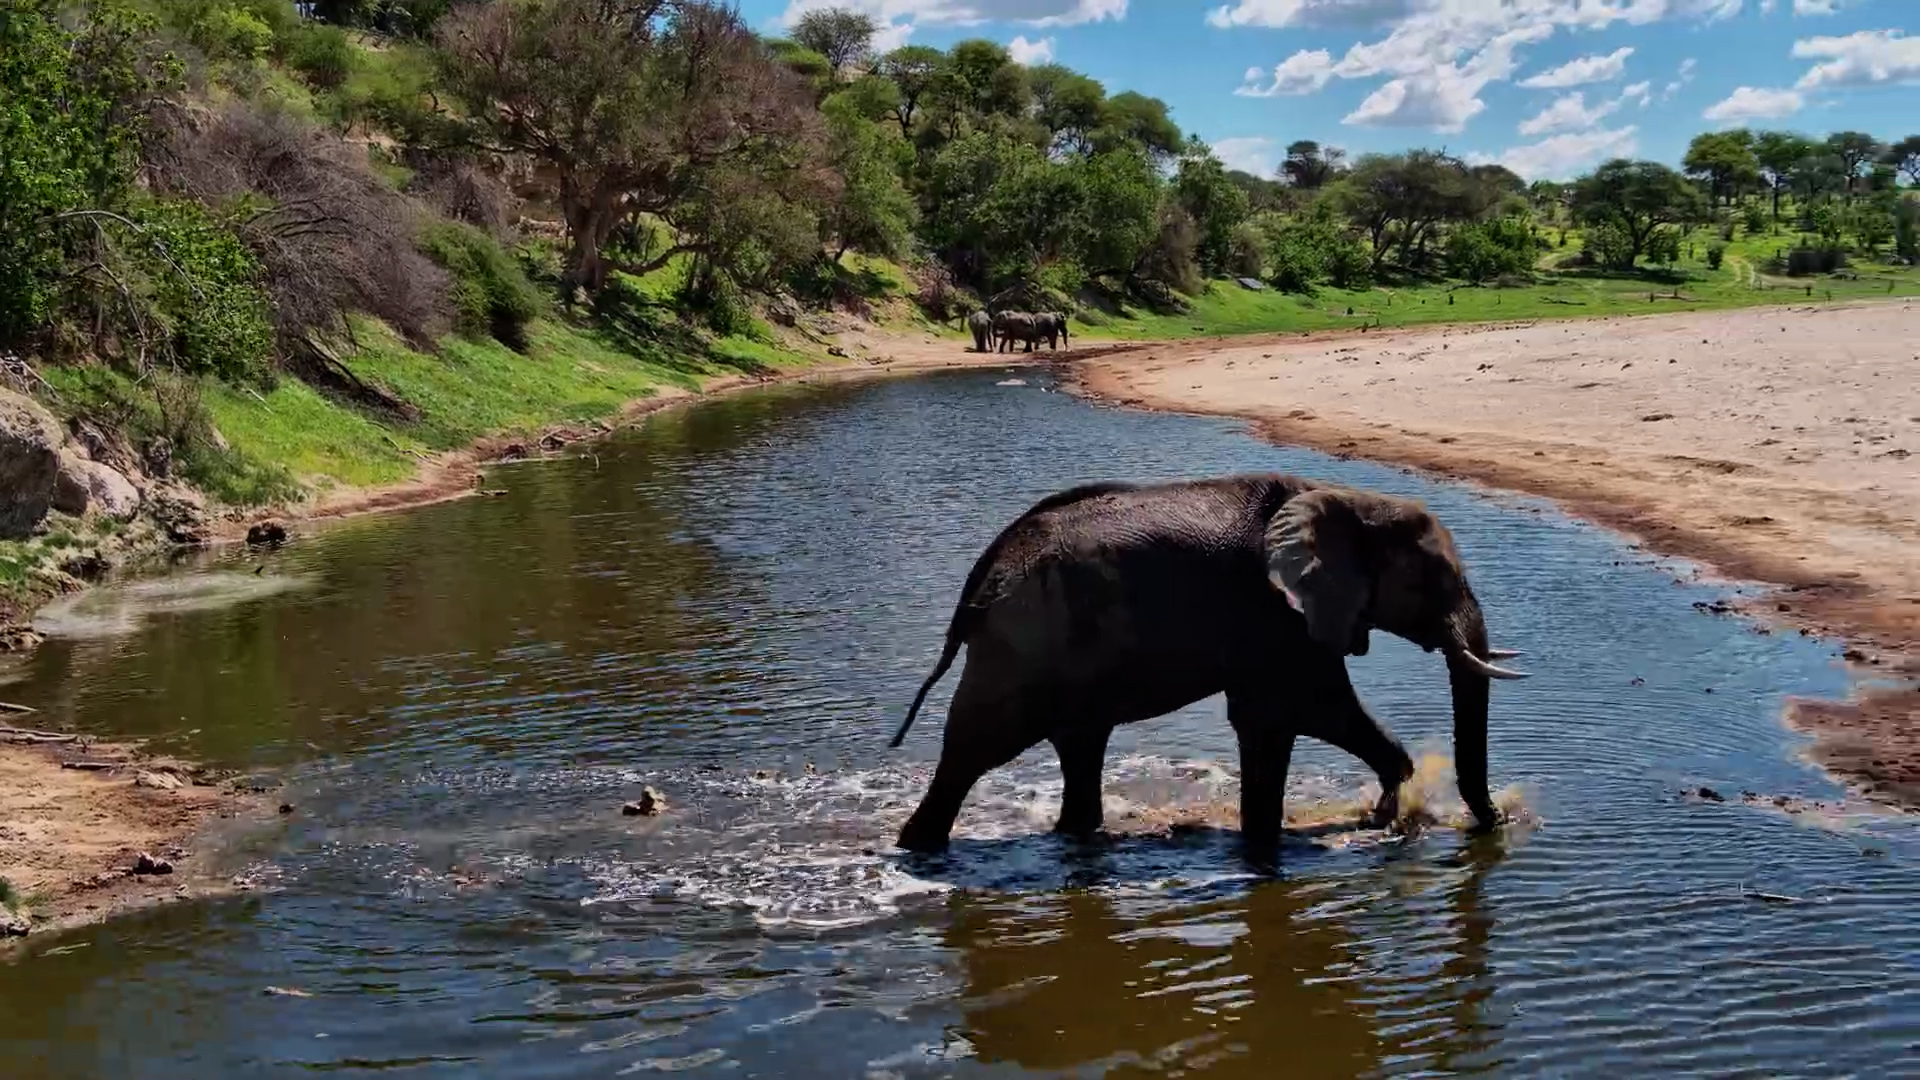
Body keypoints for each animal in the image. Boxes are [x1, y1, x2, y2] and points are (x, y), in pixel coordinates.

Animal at [887, 473, 1527, 860]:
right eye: (1434, 580)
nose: (1495, 823)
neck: (1348, 497)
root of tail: (987, 569)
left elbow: (1272, 719)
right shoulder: (1278, 615)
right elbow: (1305, 709)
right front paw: (1385, 810)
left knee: (1080, 743)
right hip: (1022, 643)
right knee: (975, 747)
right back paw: (917, 849)